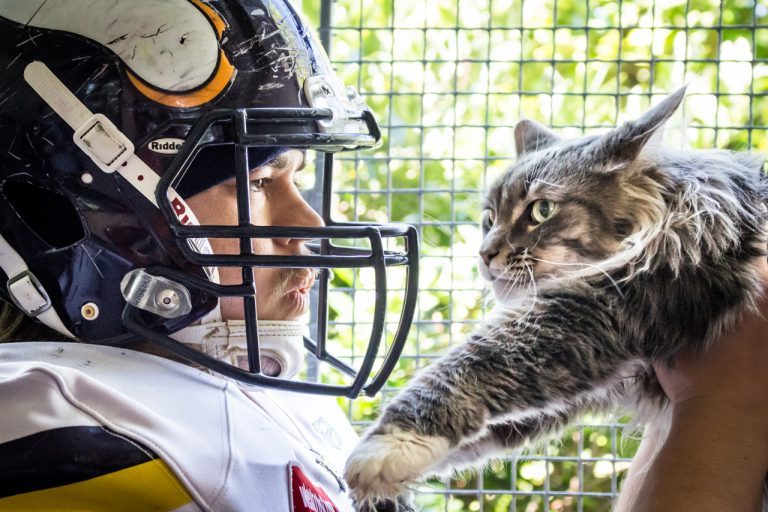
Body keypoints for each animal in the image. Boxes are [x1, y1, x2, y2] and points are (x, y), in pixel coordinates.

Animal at [344, 89, 768, 508]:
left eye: (542, 210)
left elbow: (471, 363)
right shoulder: (597, 374)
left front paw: (384, 447)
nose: (484, 253)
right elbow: (490, 427)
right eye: (490, 216)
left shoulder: (602, 305)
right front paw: (385, 487)